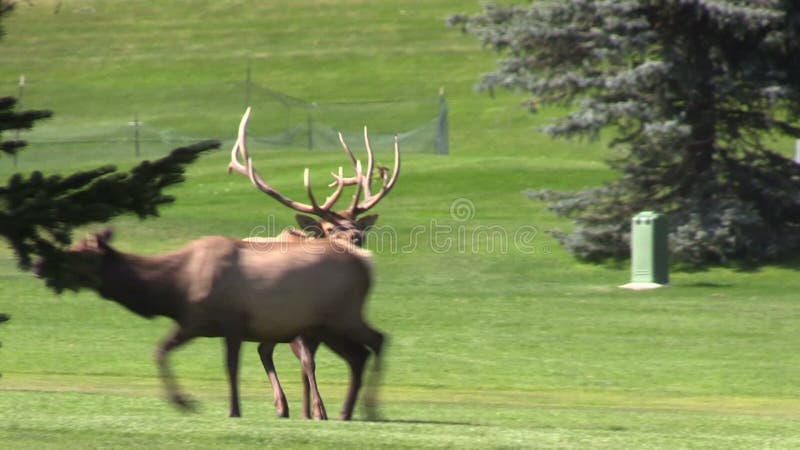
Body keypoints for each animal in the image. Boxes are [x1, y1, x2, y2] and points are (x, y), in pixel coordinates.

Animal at [36, 229, 386, 418]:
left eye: (79, 253)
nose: (39, 264)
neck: (173, 290)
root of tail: (366, 264)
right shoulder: (198, 323)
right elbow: (161, 351)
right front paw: (186, 402)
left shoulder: (226, 322)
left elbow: (229, 366)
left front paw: (225, 408)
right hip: (326, 325)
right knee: (359, 355)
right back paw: (346, 412)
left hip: (343, 315)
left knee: (379, 340)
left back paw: (369, 410)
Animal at [225, 107, 400, 420]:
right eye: (330, 229)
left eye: (359, 225)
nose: (356, 238)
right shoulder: (302, 328)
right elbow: (308, 363)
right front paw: (319, 411)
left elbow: (308, 365)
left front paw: (312, 411)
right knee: (266, 350)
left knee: (268, 349)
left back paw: (292, 406)